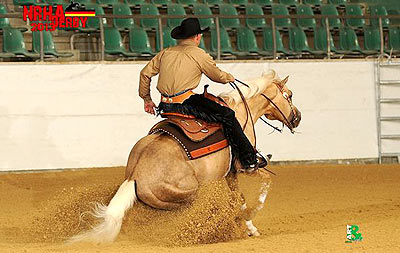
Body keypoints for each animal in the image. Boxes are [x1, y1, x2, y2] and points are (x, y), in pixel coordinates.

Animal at [69, 69, 300, 243]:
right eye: (289, 95)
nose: (297, 117)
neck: (241, 110)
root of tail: (135, 175)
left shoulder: (229, 173)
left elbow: (240, 198)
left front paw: (249, 227)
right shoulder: (244, 166)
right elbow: (261, 185)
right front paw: (250, 219)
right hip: (190, 193)